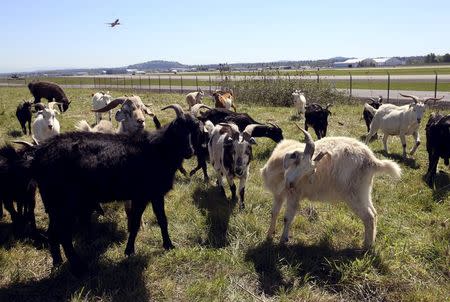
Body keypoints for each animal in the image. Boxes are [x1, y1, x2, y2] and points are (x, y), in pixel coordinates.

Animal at [25, 104, 199, 276]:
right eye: (177, 129)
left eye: (195, 128)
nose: (190, 151)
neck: (158, 149)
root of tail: (39, 155)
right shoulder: (142, 195)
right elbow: (136, 223)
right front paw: (132, 250)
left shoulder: (153, 194)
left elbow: (161, 220)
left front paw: (166, 246)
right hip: (65, 202)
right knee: (63, 234)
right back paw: (79, 267)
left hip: (53, 203)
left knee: (53, 233)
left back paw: (58, 263)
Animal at [260, 126, 400, 249]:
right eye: (297, 161)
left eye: (309, 170)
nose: (291, 184)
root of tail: (372, 161)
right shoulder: (278, 195)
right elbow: (274, 213)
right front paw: (269, 235)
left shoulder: (294, 196)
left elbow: (287, 218)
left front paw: (282, 241)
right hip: (364, 192)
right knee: (374, 214)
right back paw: (370, 243)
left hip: (354, 194)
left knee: (369, 216)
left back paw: (366, 247)